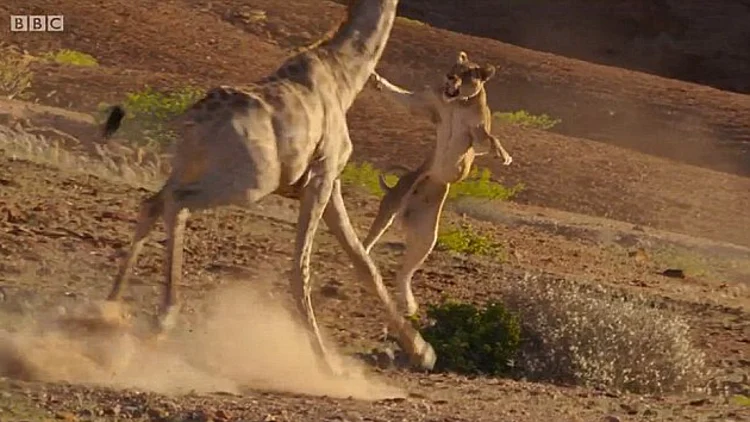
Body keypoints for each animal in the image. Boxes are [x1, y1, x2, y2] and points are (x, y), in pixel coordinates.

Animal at [103, 0, 438, 374]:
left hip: (187, 168)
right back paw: (163, 320)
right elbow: (301, 268)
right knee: (178, 204)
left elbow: (364, 263)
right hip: (247, 183)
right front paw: (327, 364)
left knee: (151, 205)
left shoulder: (330, 182)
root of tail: (193, 123)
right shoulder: (322, 176)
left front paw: (424, 352)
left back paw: (110, 309)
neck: (344, 78)